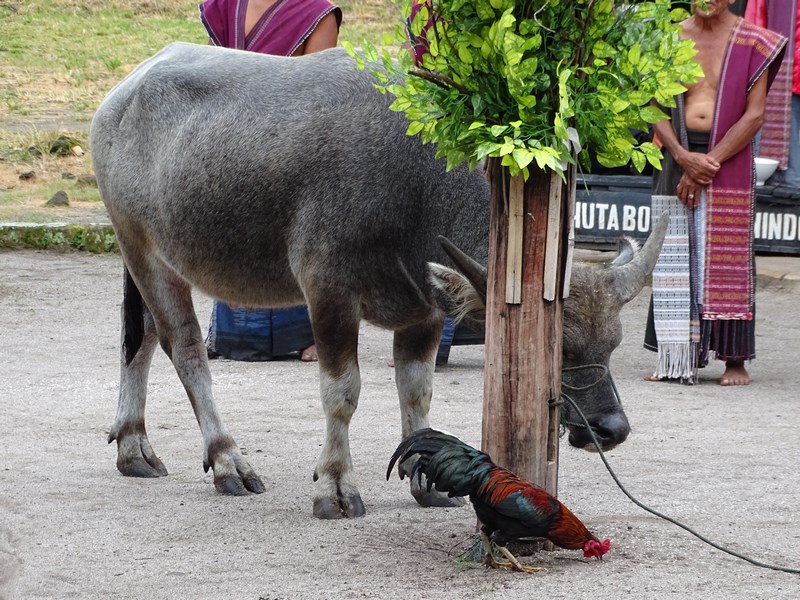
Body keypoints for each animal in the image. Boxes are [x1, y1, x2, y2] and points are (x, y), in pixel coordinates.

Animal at [90, 43, 664, 520]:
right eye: (556, 348)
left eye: (612, 344)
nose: (611, 429)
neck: (416, 185)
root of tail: (121, 96)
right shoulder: (328, 293)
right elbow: (342, 393)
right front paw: (335, 486)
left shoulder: (426, 310)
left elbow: (417, 390)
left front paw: (425, 479)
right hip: (143, 249)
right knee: (184, 348)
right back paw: (228, 459)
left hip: (148, 258)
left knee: (137, 337)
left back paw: (133, 446)